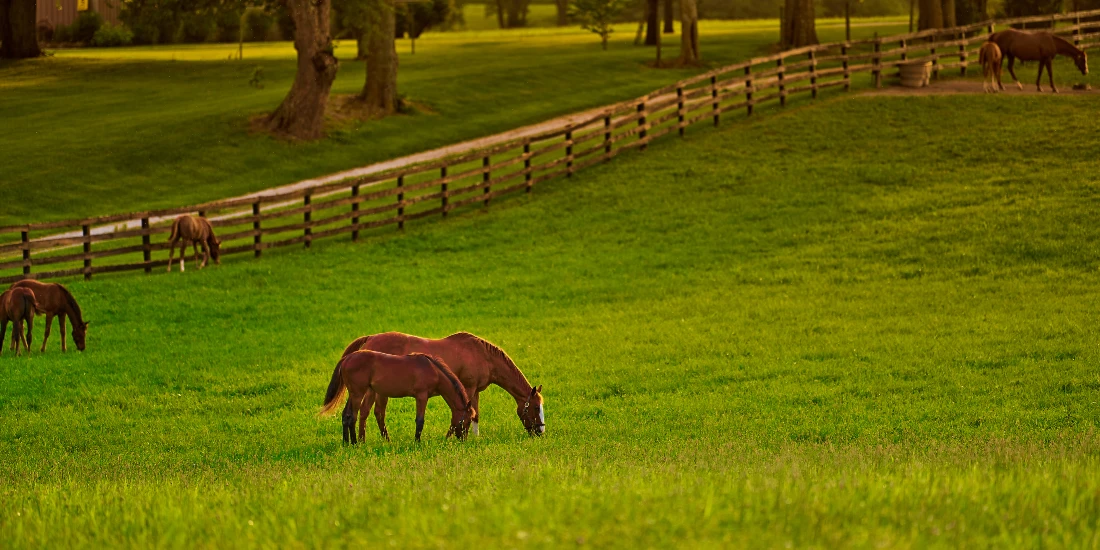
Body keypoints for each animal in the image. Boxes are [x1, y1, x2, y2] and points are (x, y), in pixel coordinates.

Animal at [320, 351, 473, 444]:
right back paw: (354, 443)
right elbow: (420, 420)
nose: (464, 440)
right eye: (467, 420)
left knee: (346, 415)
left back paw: (346, 443)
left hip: (353, 394)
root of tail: (347, 358)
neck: (434, 370)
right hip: (358, 393)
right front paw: (417, 442)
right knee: (352, 416)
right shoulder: (421, 396)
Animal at [337, 332, 545, 438]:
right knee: (366, 412)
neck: (483, 355)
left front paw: (474, 438)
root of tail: (371, 338)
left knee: (371, 413)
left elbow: (475, 414)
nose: (541, 431)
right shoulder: (468, 389)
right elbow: (462, 415)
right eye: (535, 407)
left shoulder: (476, 390)